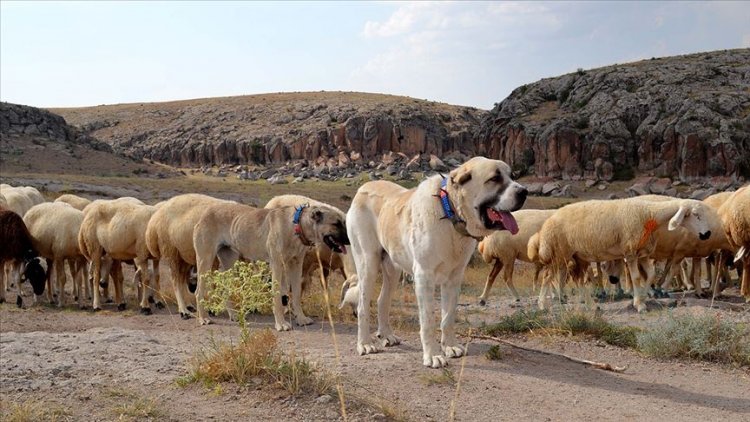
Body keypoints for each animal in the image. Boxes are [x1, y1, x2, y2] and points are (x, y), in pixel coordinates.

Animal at [191, 203, 350, 328]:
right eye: (336, 223)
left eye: (343, 222)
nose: (349, 240)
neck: (295, 226)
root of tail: (204, 214)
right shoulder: (277, 265)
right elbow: (278, 296)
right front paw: (281, 324)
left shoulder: (296, 265)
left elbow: (296, 294)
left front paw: (301, 318)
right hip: (205, 261)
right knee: (198, 291)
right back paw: (203, 318)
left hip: (228, 261)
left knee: (225, 290)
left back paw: (234, 315)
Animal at [348, 157, 528, 368]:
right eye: (494, 178)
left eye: (512, 176)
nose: (524, 191)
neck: (450, 212)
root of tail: (364, 187)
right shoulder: (424, 278)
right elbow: (428, 321)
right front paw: (432, 355)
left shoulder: (454, 278)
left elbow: (448, 317)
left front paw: (450, 347)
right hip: (368, 264)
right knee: (362, 306)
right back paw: (364, 344)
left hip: (392, 269)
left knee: (382, 300)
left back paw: (386, 335)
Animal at [532, 196, 712, 312]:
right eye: (696, 215)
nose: (707, 234)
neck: (649, 215)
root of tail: (548, 222)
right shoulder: (630, 252)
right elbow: (637, 277)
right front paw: (639, 304)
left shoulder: (642, 253)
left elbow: (651, 275)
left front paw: (643, 296)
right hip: (559, 252)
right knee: (547, 276)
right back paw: (542, 305)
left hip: (579, 256)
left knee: (579, 281)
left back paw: (591, 306)